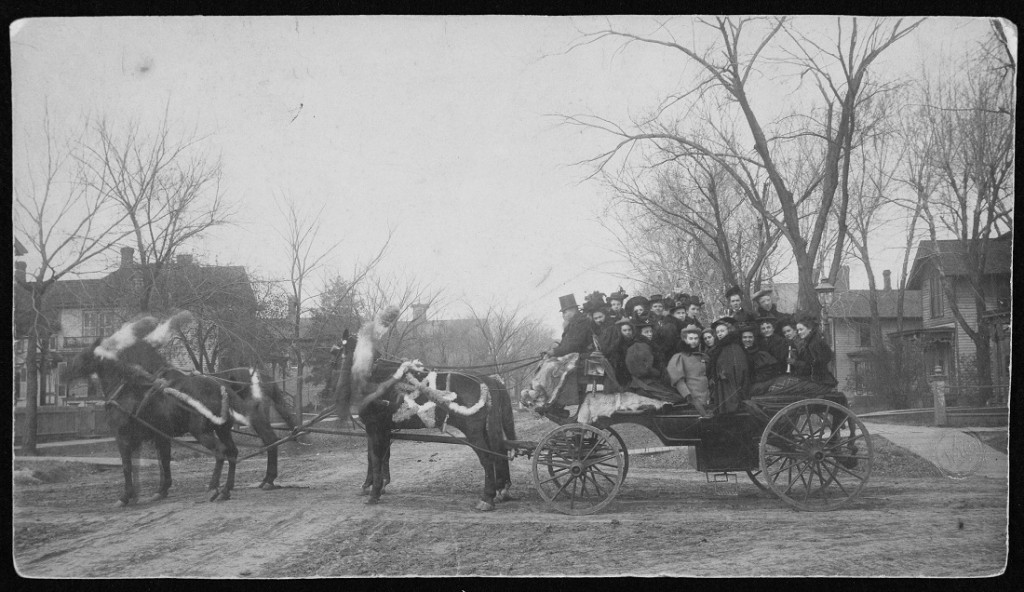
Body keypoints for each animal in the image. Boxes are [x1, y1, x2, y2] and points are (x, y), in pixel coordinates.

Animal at [68, 315, 241, 503]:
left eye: (86, 354)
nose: (68, 367)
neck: (126, 391)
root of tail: (221, 388)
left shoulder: (123, 437)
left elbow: (127, 465)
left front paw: (126, 496)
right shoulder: (159, 436)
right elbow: (162, 461)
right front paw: (160, 490)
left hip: (202, 432)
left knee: (220, 452)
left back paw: (212, 488)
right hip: (222, 430)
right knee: (232, 452)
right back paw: (225, 489)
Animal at [331, 325, 516, 510]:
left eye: (339, 351)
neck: (376, 381)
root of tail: (486, 381)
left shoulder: (374, 427)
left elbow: (375, 458)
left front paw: (374, 492)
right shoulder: (383, 429)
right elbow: (378, 457)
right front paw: (377, 485)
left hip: (473, 431)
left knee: (488, 458)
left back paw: (487, 497)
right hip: (483, 430)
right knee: (496, 453)